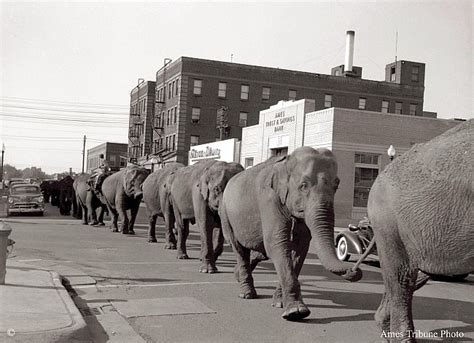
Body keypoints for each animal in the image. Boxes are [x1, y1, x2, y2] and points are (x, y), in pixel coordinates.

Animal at [220, 148, 362, 322]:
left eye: (336, 185)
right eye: (303, 186)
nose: (354, 271)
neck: (286, 163)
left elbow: (300, 249)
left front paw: (279, 303)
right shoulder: (269, 201)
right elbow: (277, 245)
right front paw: (296, 312)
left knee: (259, 252)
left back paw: (238, 276)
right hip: (226, 217)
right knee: (240, 250)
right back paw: (247, 293)